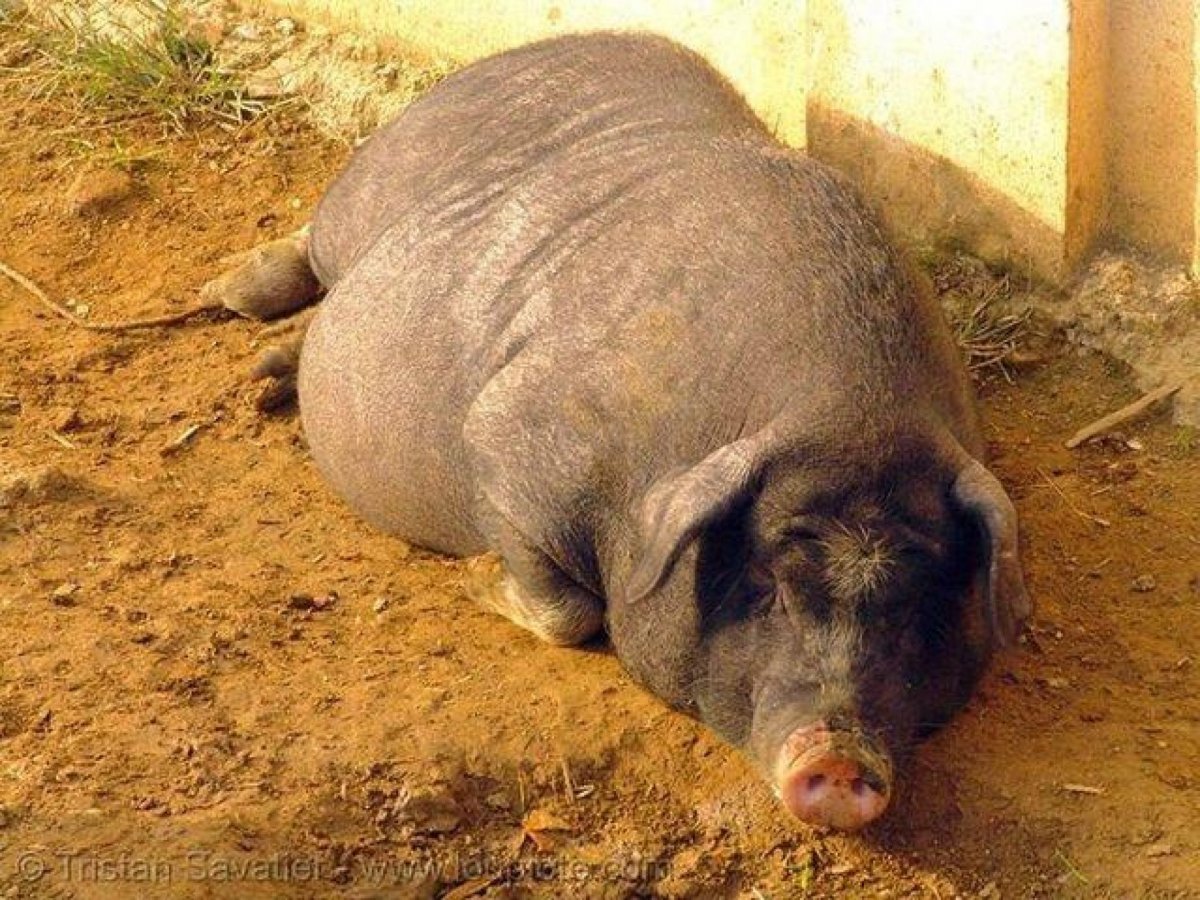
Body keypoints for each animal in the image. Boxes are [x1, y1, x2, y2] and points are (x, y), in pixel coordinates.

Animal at [226, 32, 1032, 831]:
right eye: (768, 581)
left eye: (921, 600)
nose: (837, 756)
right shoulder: (507, 445)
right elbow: (570, 610)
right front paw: (474, 576)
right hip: (366, 190)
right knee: (312, 243)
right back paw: (229, 299)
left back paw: (268, 370)